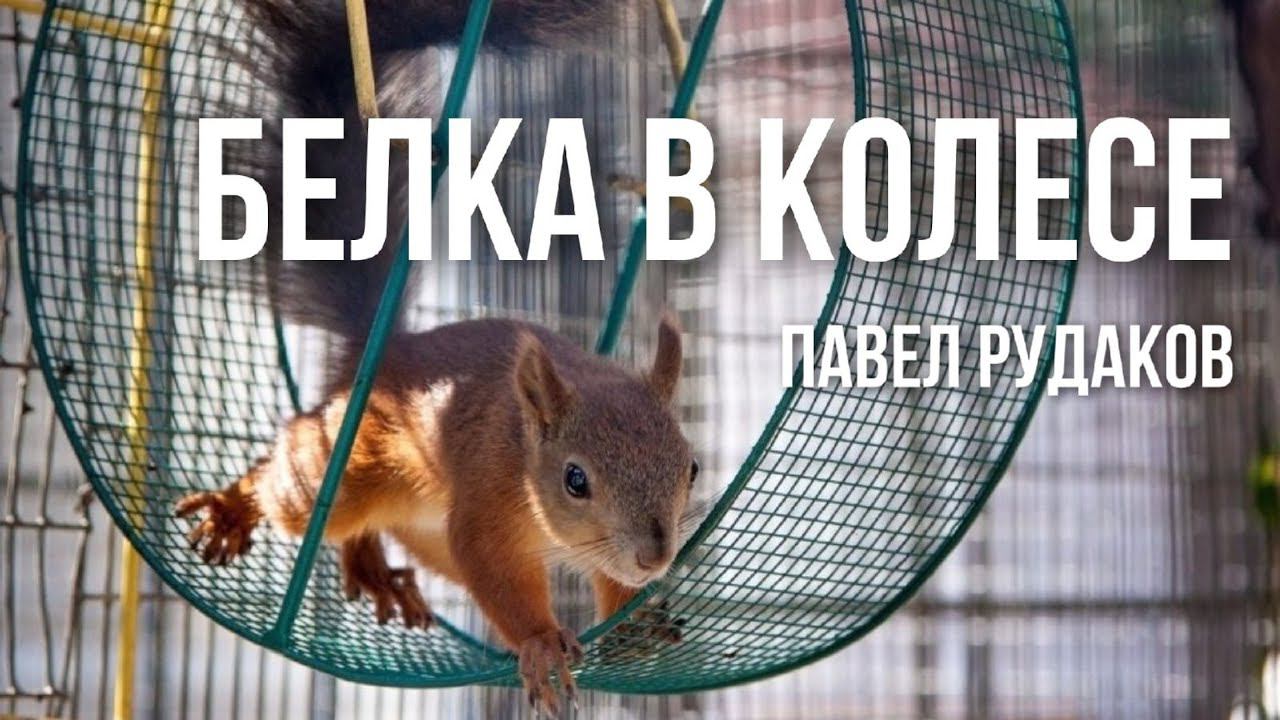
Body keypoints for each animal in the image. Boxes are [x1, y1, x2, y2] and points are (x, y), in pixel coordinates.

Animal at [178, 0, 696, 711]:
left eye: (692, 467)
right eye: (575, 479)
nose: (655, 557)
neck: (525, 449)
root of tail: (386, 352)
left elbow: (608, 581)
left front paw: (634, 621)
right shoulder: (486, 503)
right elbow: (496, 575)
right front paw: (541, 643)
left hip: (421, 525)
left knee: (374, 527)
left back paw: (368, 566)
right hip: (350, 464)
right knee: (291, 473)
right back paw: (236, 506)